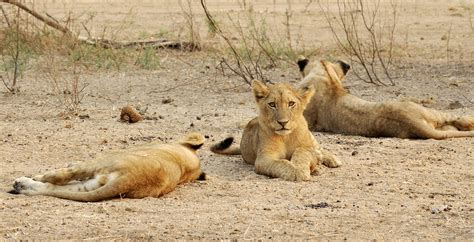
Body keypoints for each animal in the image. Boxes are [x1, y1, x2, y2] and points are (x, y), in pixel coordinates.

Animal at [8, 133, 207, 201]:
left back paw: (29, 180)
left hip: (101, 161)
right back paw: (22, 185)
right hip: (94, 182)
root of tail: (130, 180)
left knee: (60, 177)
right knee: (55, 188)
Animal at [211, 79, 340, 182]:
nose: (283, 122)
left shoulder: (307, 148)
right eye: (272, 104)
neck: (285, 137)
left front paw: (301, 170)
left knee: (319, 148)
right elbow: (281, 163)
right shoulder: (264, 159)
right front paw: (295, 171)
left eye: (291, 103)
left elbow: (301, 153)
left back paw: (331, 159)